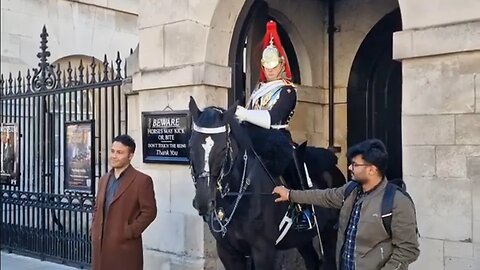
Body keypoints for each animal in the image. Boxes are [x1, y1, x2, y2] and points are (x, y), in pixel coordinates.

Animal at [188, 97, 344, 270]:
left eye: (223, 148)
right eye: (190, 145)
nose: (203, 202)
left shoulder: (264, 251)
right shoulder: (227, 252)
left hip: (329, 231)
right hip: (301, 239)